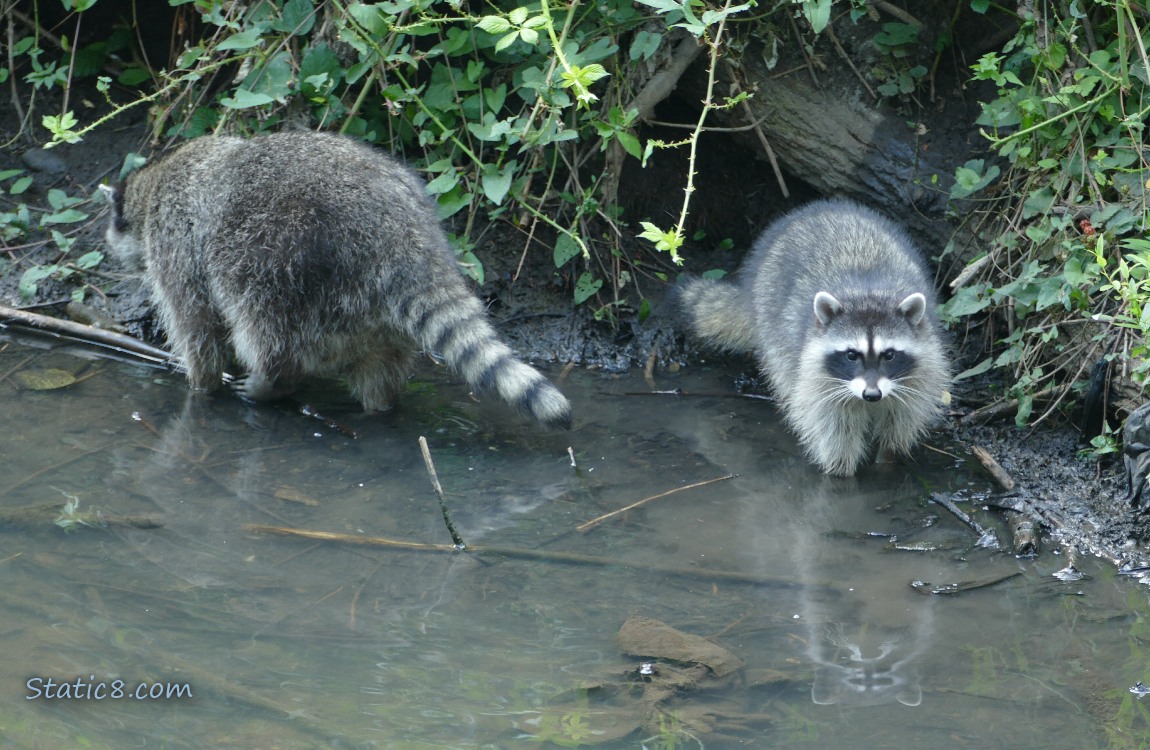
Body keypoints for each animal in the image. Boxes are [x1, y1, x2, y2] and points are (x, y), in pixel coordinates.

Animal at [100, 131, 571, 429]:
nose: (109, 247)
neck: (154, 180)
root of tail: (402, 230)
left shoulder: (176, 243)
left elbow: (195, 323)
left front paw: (200, 384)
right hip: (364, 300)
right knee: (381, 363)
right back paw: (379, 406)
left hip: (280, 257)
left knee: (261, 320)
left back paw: (272, 377)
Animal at [674, 198, 950, 475]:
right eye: (851, 355)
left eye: (890, 355)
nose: (872, 395)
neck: (868, 293)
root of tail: (819, 207)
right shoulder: (817, 378)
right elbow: (833, 430)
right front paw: (839, 473)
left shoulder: (922, 372)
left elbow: (900, 422)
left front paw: (887, 459)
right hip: (771, 319)